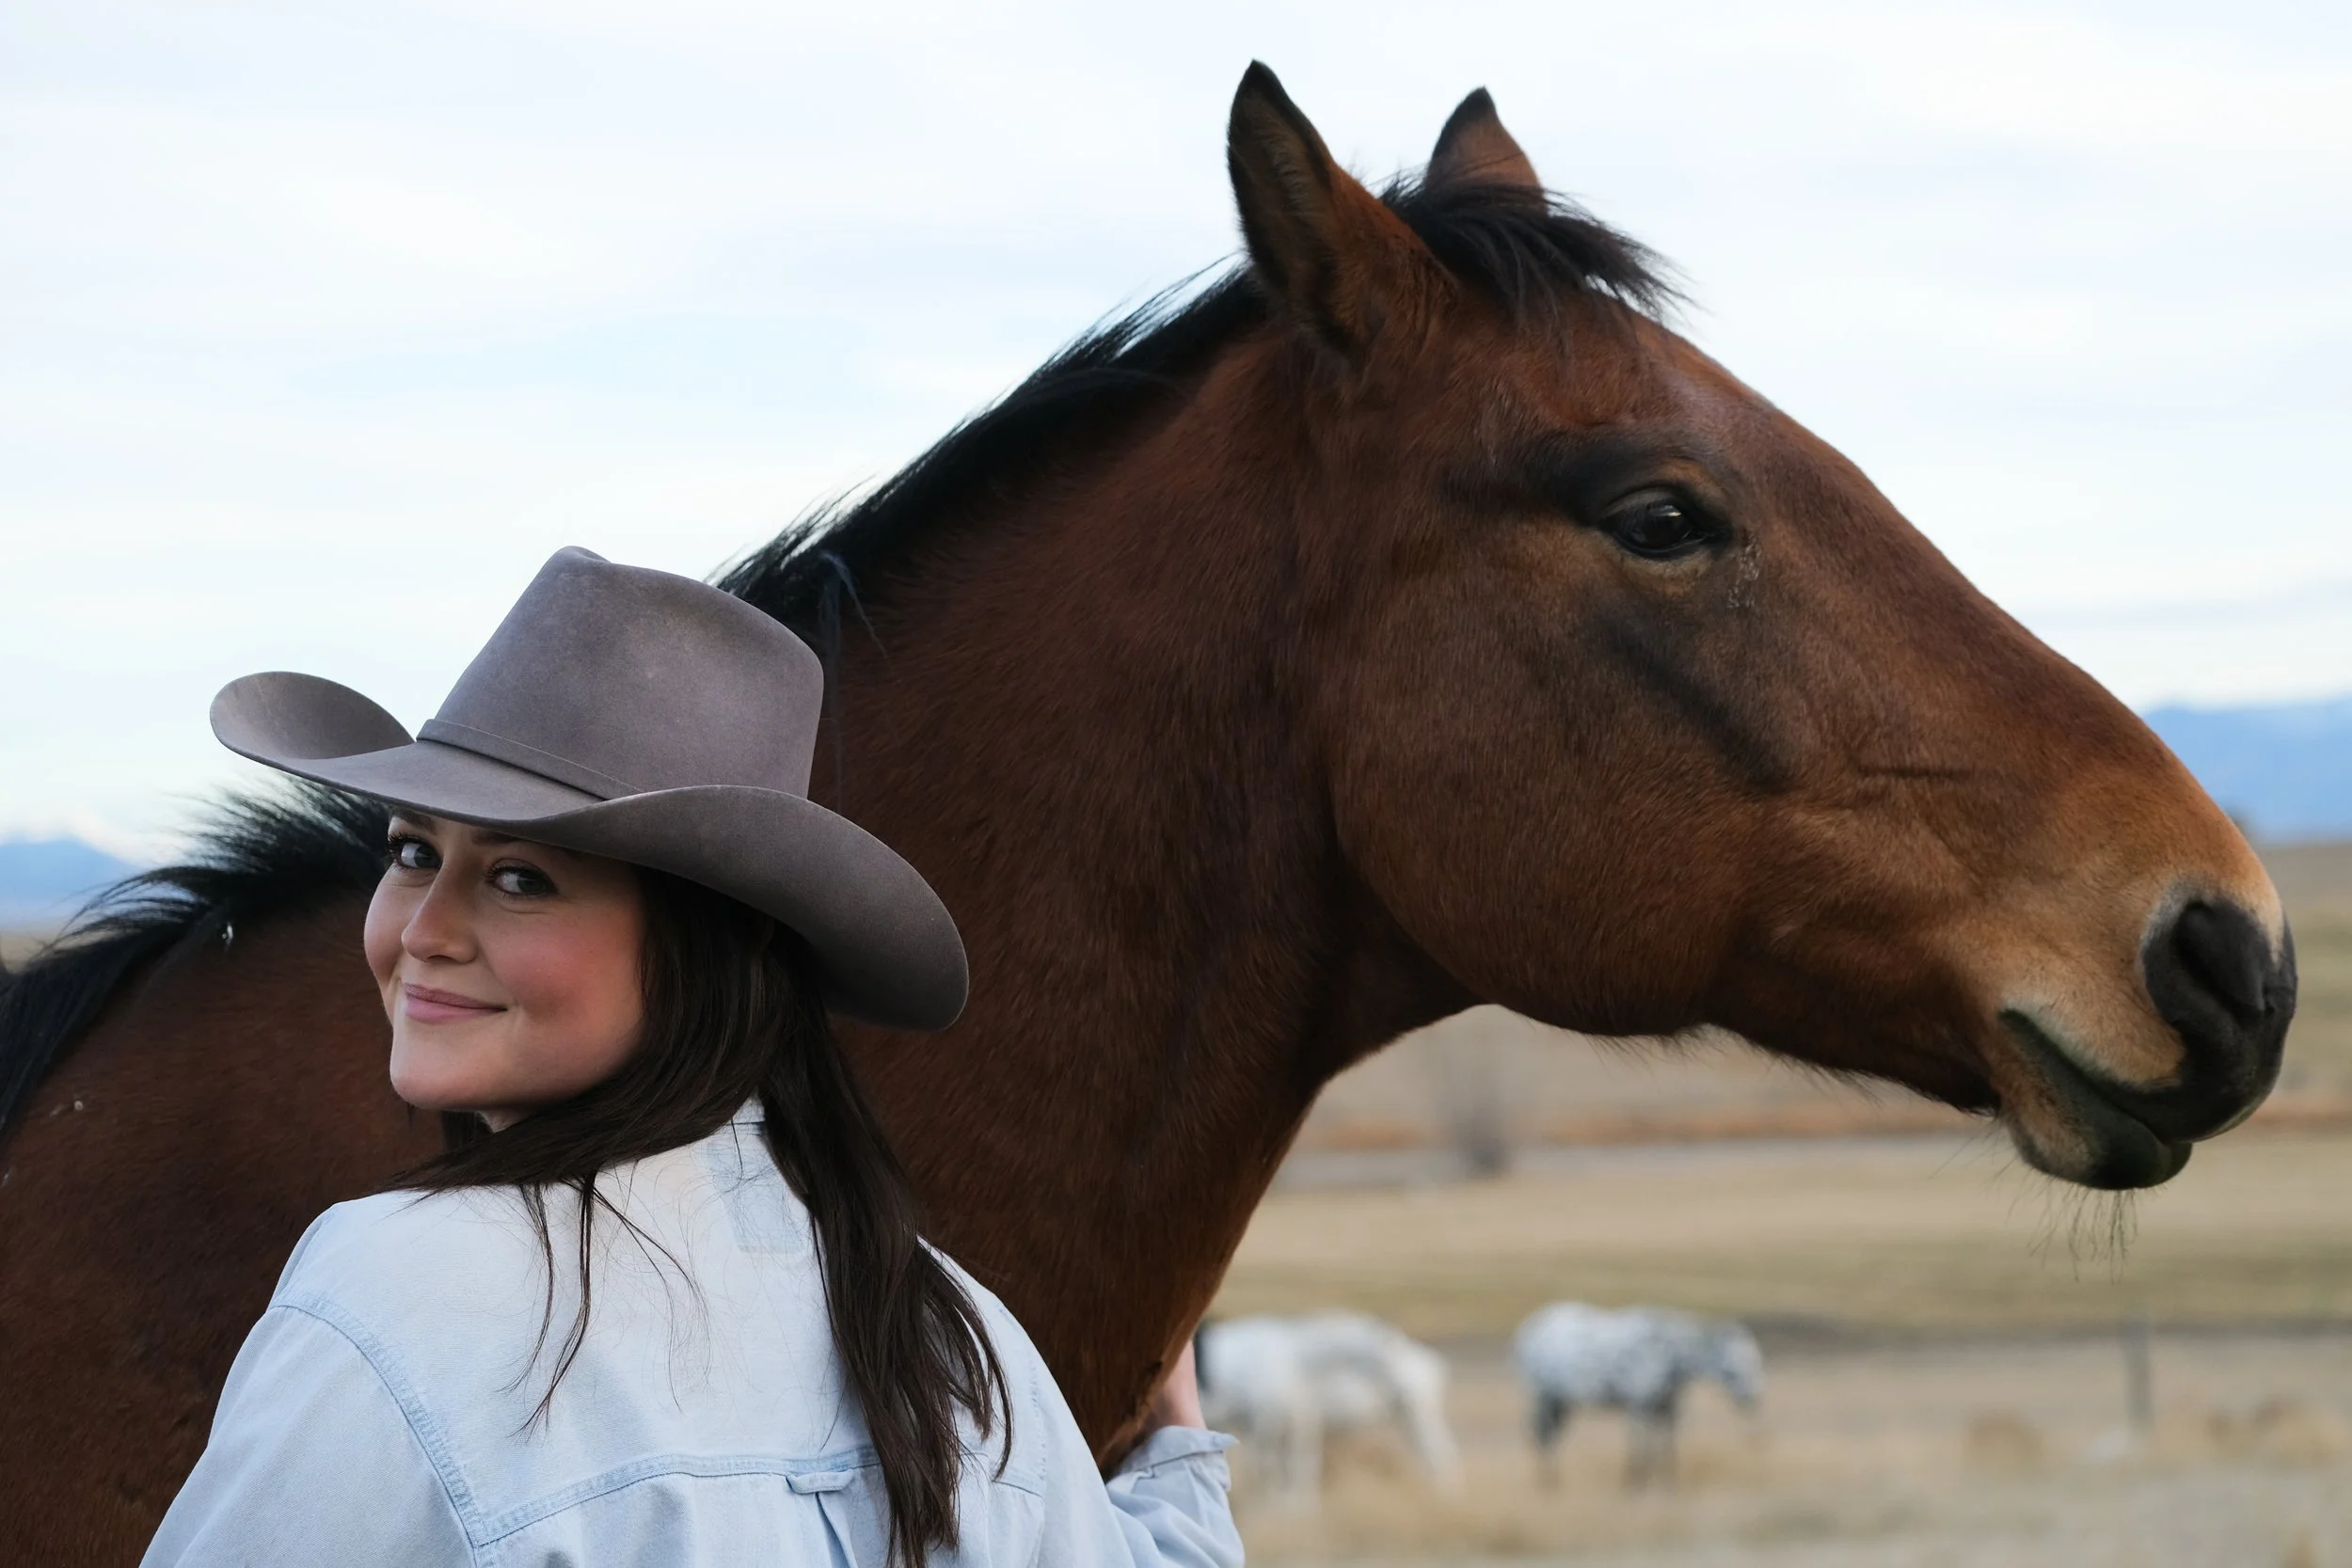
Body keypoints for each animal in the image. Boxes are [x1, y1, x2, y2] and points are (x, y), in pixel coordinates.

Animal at [1196, 1312, 1460, 1506]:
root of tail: (1428, 1361)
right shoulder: (1291, 1425)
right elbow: (1287, 1466)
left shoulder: (1274, 1424)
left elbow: (1281, 1466)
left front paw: (1288, 1506)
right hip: (1411, 1419)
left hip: (1418, 1418)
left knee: (1438, 1454)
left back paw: (1442, 1496)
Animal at [1515, 1302, 1762, 1491]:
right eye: (1732, 1367)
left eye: (1754, 1360)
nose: (1753, 1399)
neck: (1664, 1353)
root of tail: (1531, 1330)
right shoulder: (1639, 1408)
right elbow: (1641, 1448)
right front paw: (1634, 1486)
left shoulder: (1667, 1411)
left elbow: (1667, 1448)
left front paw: (1668, 1485)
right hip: (1544, 1401)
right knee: (1542, 1438)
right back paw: (1547, 1485)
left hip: (1561, 1404)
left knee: (1550, 1439)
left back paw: (1554, 1482)